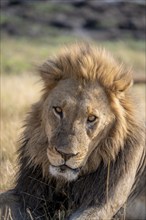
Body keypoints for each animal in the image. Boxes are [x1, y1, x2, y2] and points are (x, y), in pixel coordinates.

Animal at [0, 43, 145, 220]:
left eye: (91, 118)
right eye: (58, 110)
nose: (66, 154)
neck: (65, 183)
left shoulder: (101, 203)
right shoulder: (28, 195)